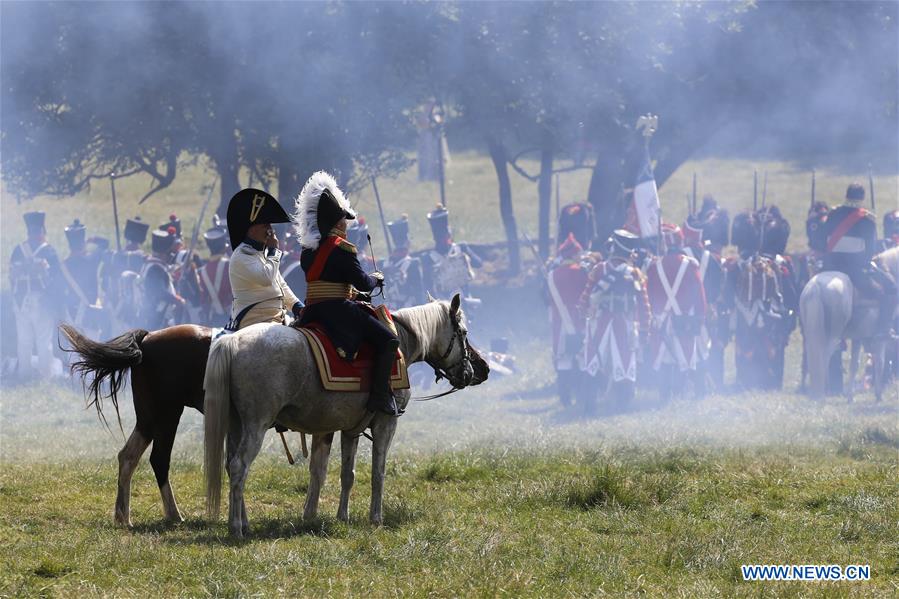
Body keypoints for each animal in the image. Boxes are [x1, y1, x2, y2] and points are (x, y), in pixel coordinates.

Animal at [203, 296, 488, 540]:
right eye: (463, 333)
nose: (479, 370)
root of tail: (233, 342)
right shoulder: (386, 423)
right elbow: (378, 472)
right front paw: (376, 519)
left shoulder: (350, 429)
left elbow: (347, 474)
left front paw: (343, 517)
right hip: (256, 425)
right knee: (239, 466)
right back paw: (236, 528)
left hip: (237, 424)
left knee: (231, 465)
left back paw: (244, 523)